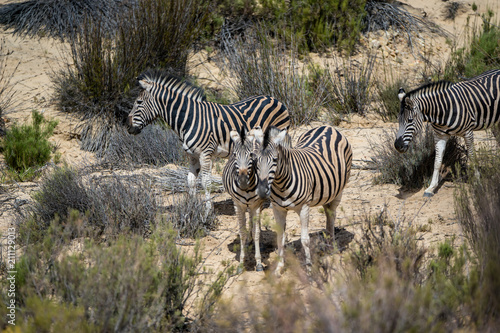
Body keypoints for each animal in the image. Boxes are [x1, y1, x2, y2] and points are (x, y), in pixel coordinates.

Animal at [127, 69, 292, 206]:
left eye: (139, 102)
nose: (128, 127)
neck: (189, 119)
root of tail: (275, 99)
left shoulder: (205, 154)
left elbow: (206, 183)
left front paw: (207, 211)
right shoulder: (192, 155)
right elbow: (190, 181)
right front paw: (192, 208)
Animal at [254, 123, 352, 274]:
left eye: (275, 160)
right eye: (256, 161)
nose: (262, 191)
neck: (281, 184)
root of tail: (328, 126)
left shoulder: (304, 207)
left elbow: (305, 239)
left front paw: (309, 269)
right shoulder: (278, 209)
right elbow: (280, 238)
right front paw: (279, 268)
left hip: (339, 190)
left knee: (332, 215)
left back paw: (332, 247)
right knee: (327, 211)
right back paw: (328, 244)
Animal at [394, 68, 500, 196]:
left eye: (410, 120)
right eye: (398, 120)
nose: (397, 146)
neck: (441, 112)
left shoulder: (468, 133)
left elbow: (472, 156)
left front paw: (477, 182)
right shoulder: (440, 135)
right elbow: (437, 161)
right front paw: (431, 188)